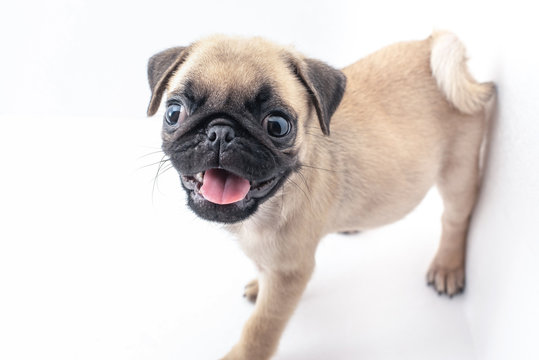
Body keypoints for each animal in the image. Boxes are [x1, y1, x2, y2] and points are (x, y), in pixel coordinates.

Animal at [146, 31, 496, 360]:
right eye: (174, 113)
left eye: (277, 125)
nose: (220, 132)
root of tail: (430, 44)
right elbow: (262, 271)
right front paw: (260, 285)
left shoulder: (290, 272)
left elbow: (261, 326)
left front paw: (242, 354)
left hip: (458, 170)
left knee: (454, 219)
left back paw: (447, 267)